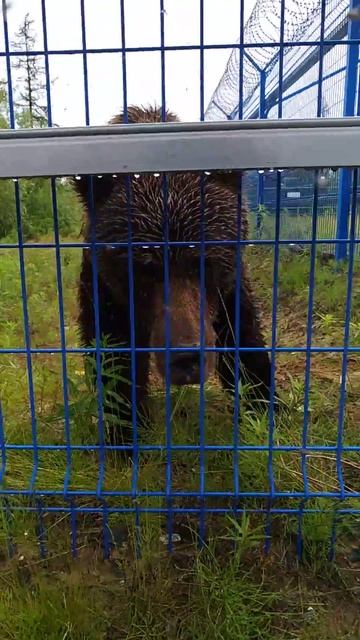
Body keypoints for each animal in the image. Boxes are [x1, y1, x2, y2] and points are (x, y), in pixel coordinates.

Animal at [76, 105, 272, 448]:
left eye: (204, 262)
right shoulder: (106, 291)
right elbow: (114, 360)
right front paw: (124, 432)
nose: (185, 356)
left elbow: (243, 340)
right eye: (145, 268)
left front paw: (263, 408)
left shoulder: (229, 289)